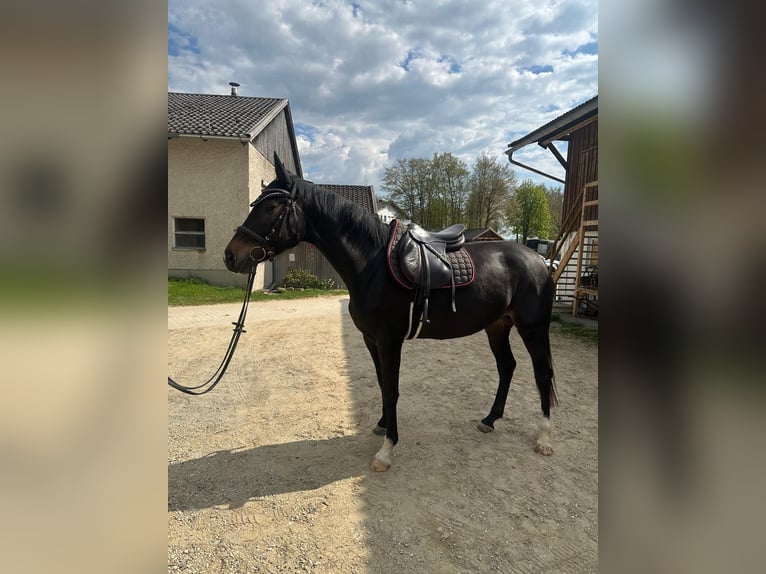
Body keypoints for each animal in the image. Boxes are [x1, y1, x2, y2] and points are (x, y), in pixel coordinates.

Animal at [224, 153, 558, 472]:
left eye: (271, 207)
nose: (230, 255)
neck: (371, 264)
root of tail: (540, 261)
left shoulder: (389, 340)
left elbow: (392, 389)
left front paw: (387, 450)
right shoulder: (371, 339)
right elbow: (383, 383)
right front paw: (383, 424)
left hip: (532, 328)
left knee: (542, 374)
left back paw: (544, 438)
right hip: (497, 326)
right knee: (507, 367)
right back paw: (489, 420)